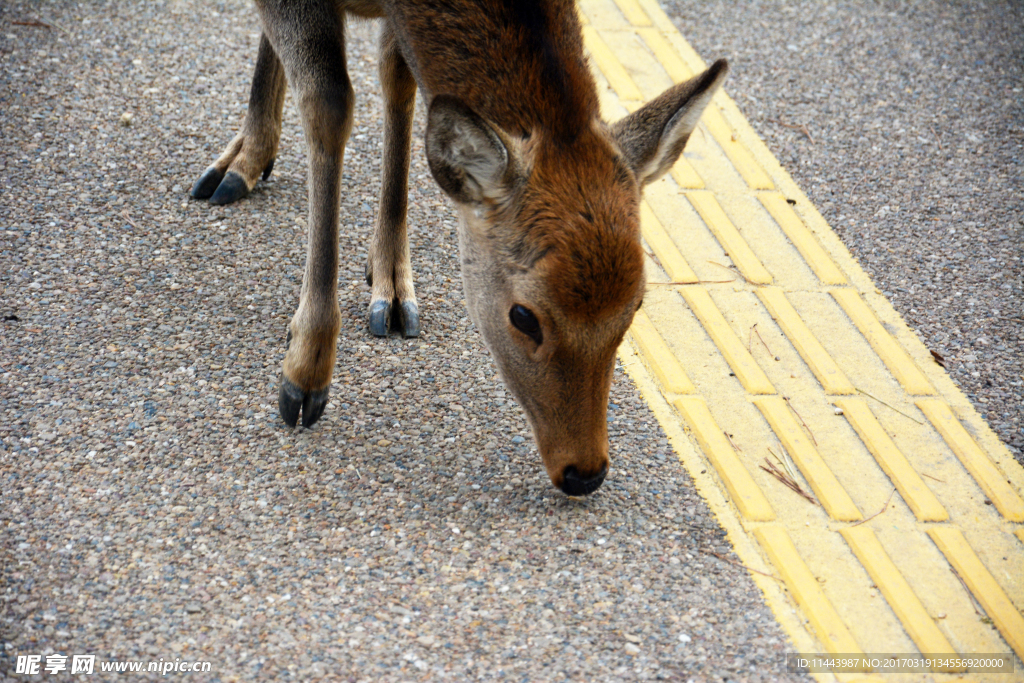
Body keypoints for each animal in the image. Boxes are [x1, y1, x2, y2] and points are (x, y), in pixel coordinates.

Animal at [188, 0, 724, 497]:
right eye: (523, 316)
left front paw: (392, 287)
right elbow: (329, 105)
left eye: (636, 306)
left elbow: (397, 78)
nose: (585, 473)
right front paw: (304, 374)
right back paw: (239, 163)